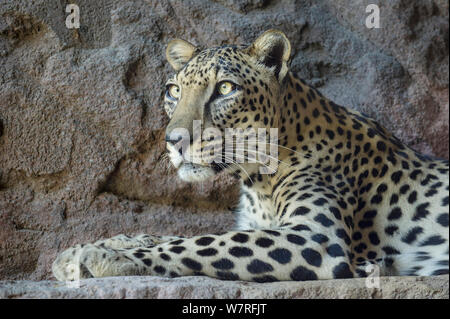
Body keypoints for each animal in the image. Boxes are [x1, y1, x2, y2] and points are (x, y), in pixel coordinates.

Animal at [53, 28, 450, 282]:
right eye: (173, 91)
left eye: (225, 88)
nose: (174, 140)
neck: (256, 178)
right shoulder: (258, 225)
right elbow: (171, 235)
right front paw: (103, 244)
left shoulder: (314, 237)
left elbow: (205, 242)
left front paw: (104, 255)